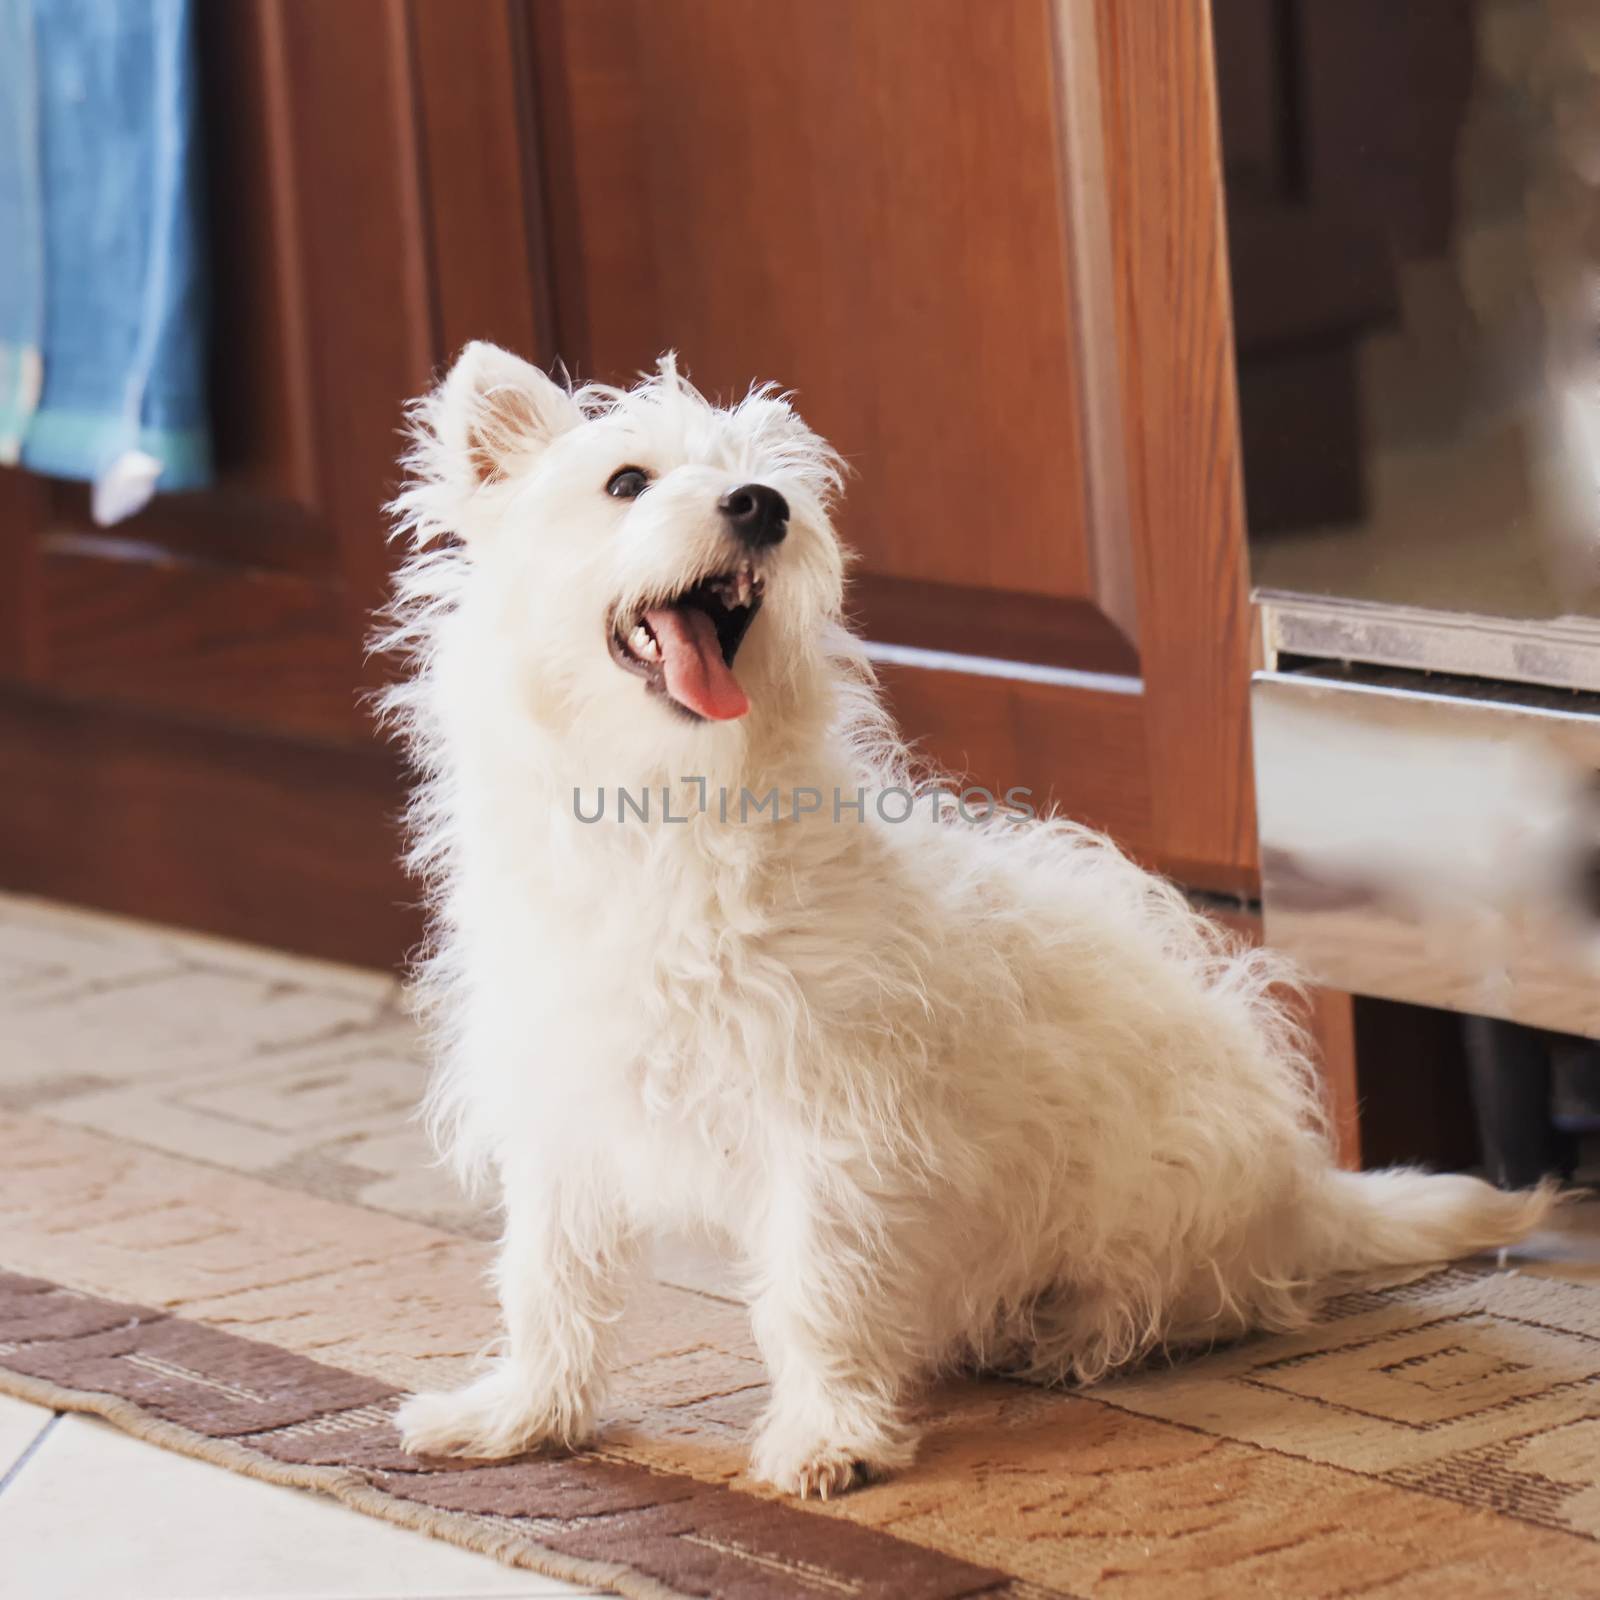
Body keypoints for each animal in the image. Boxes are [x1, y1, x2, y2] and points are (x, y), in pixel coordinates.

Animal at [380, 340, 1555, 1497]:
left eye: (770, 478)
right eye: (625, 481)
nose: (762, 505)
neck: (666, 806)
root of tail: (1307, 1191)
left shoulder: (829, 1120)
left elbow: (811, 1286)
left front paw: (827, 1436)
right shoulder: (560, 1109)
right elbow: (546, 1278)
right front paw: (524, 1415)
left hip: (1168, 1190)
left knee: (1211, 1296)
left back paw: (1072, 1333)